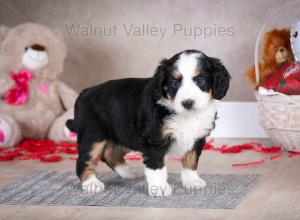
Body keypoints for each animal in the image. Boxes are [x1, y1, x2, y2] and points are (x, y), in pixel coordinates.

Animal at [67, 50, 231, 198]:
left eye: (200, 80)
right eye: (174, 82)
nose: (187, 103)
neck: (186, 116)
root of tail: (85, 92)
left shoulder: (197, 137)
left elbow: (191, 159)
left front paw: (191, 181)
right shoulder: (154, 140)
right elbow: (157, 166)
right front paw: (160, 187)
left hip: (123, 132)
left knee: (110, 154)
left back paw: (127, 173)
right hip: (93, 135)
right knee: (84, 160)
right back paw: (91, 183)